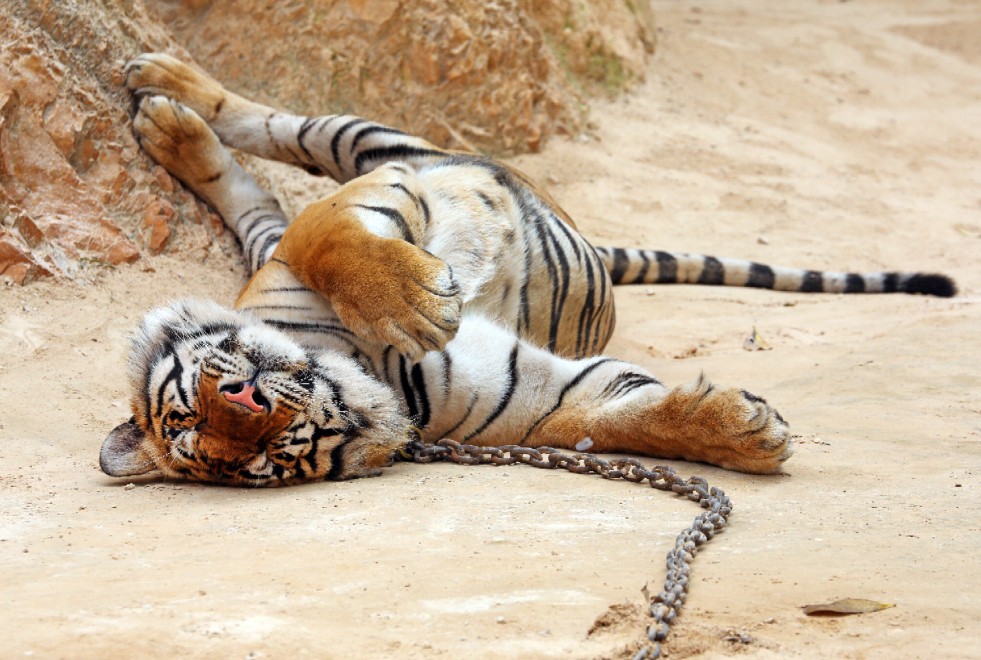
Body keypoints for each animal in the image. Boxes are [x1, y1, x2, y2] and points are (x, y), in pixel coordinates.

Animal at [100, 53, 955, 486]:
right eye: (250, 459)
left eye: (190, 404)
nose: (242, 402)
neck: (361, 369)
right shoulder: (541, 399)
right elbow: (621, 419)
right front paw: (743, 436)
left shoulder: (368, 201)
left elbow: (331, 237)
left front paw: (413, 303)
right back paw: (171, 124)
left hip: (373, 141)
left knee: (278, 131)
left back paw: (168, 98)